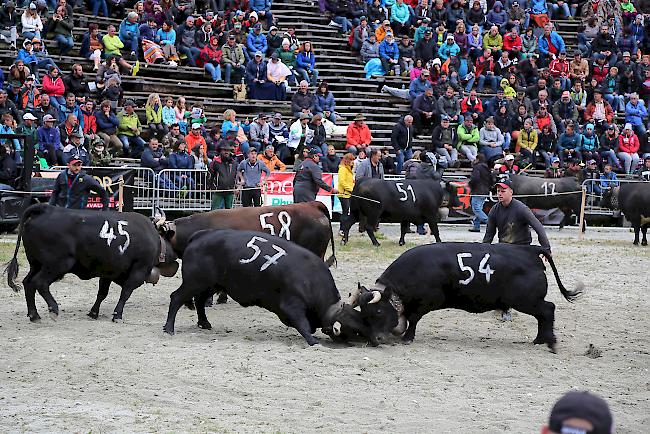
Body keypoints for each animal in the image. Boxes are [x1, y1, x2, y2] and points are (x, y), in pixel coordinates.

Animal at [5, 203, 180, 322]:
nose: (175, 255)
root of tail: (47, 209)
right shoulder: (139, 270)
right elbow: (126, 292)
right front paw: (117, 314)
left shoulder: (108, 272)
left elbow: (102, 293)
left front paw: (93, 312)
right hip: (57, 265)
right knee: (40, 283)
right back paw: (53, 309)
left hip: (36, 264)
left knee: (28, 283)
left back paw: (34, 314)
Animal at [346, 242, 580, 350]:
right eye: (365, 315)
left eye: (378, 311)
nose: (375, 340)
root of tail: (531, 251)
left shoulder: (423, 304)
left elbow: (412, 320)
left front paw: (407, 338)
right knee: (543, 315)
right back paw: (539, 339)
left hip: (528, 301)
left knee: (548, 310)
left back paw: (548, 341)